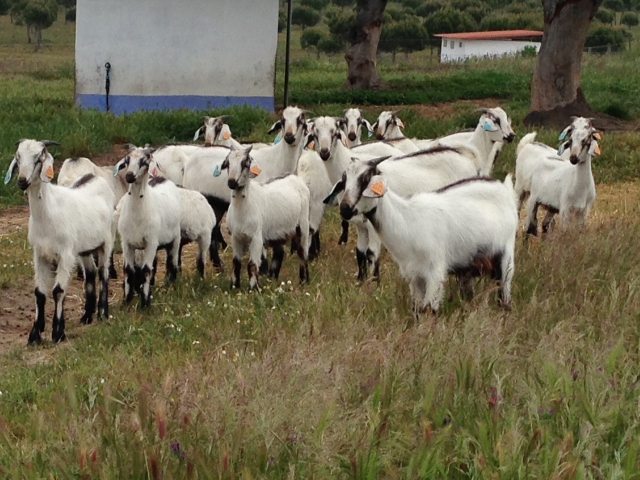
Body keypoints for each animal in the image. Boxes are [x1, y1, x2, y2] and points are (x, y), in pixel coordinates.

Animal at [5, 139, 114, 344]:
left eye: (38, 158)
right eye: (18, 156)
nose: (22, 181)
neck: (48, 213)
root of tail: (93, 177)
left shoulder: (66, 254)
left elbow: (58, 291)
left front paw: (58, 332)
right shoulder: (39, 254)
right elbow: (39, 292)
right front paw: (35, 334)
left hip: (107, 241)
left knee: (103, 273)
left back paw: (103, 312)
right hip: (84, 248)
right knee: (90, 273)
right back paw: (87, 315)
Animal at [117, 146, 181, 308]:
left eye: (144, 161)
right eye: (127, 160)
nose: (129, 176)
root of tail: (162, 179)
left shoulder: (151, 242)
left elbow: (146, 270)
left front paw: (145, 302)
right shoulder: (126, 243)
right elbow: (128, 270)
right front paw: (127, 300)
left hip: (175, 238)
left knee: (172, 261)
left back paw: (171, 283)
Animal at [220, 146, 310, 288]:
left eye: (245, 163)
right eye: (228, 163)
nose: (232, 182)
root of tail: (294, 177)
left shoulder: (256, 238)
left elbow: (252, 265)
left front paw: (253, 288)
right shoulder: (235, 237)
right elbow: (236, 263)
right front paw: (234, 286)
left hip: (303, 225)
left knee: (303, 253)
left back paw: (304, 281)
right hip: (279, 230)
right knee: (279, 253)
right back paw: (272, 279)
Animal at [328, 156, 516, 316]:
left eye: (365, 179)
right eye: (344, 181)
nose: (344, 208)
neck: (407, 221)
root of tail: (504, 187)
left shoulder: (435, 273)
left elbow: (429, 310)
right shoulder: (414, 276)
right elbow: (417, 310)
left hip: (506, 257)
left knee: (504, 297)